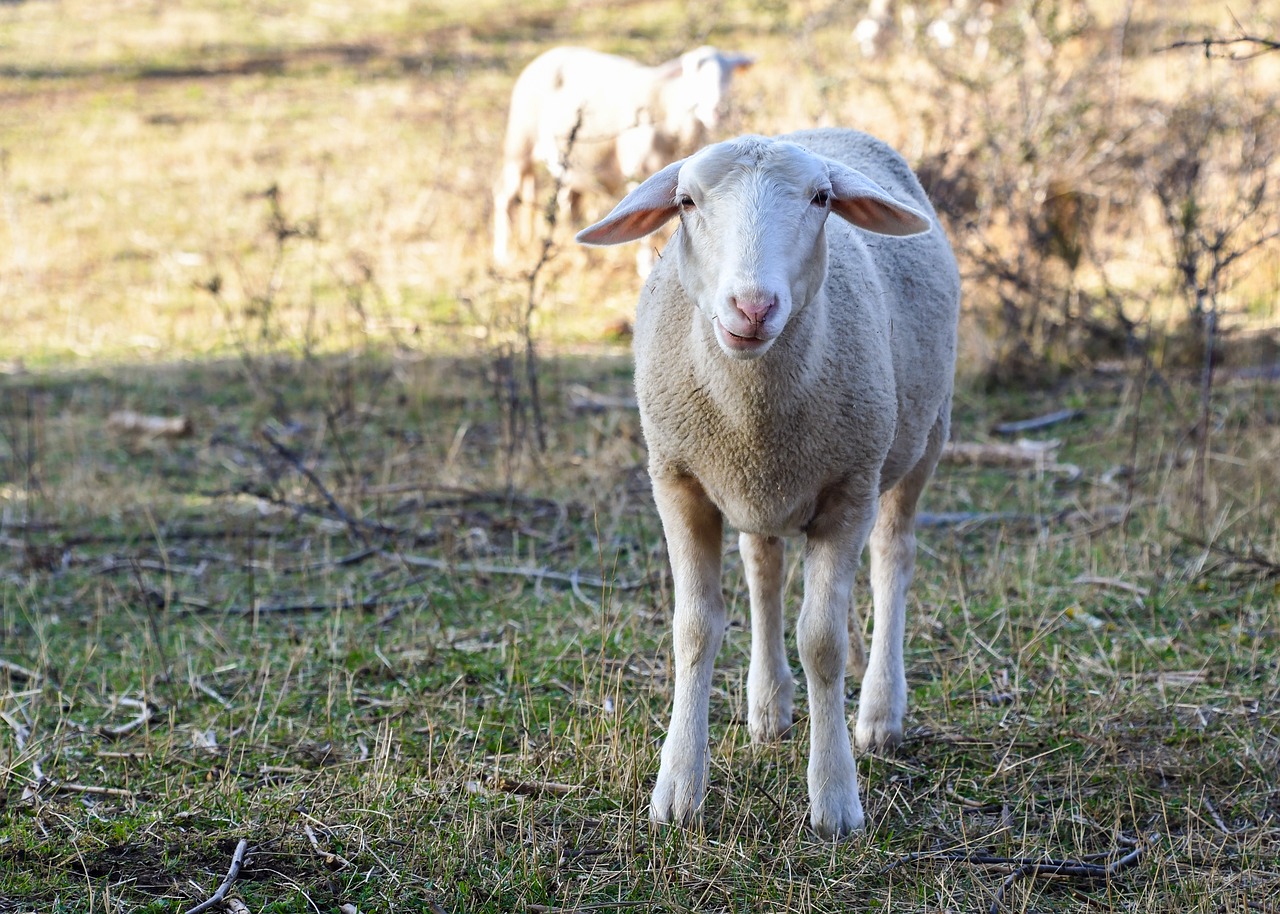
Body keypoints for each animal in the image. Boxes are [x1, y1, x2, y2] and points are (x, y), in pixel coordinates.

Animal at [486, 45, 747, 267]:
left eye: (728, 77)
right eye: (694, 73)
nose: (717, 111)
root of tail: (545, 56)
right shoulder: (637, 168)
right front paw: (646, 263)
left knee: (569, 205)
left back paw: (582, 257)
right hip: (520, 144)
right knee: (504, 195)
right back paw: (504, 255)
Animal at [581, 126, 962, 834]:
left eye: (821, 199)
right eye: (685, 201)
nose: (752, 306)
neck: (752, 406)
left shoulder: (848, 489)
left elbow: (823, 642)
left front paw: (835, 798)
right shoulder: (677, 481)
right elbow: (694, 628)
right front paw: (678, 788)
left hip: (923, 438)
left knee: (893, 561)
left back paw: (880, 714)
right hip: (760, 487)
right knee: (763, 568)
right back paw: (768, 706)